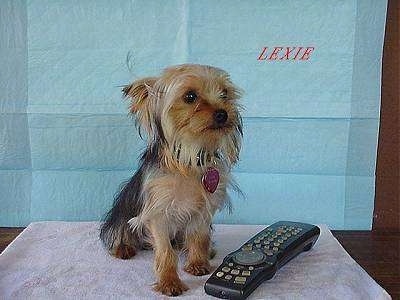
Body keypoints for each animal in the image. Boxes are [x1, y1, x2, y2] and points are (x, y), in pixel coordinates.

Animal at [101, 63, 242, 296]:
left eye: (225, 94)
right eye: (190, 96)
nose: (223, 113)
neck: (190, 159)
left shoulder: (202, 209)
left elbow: (198, 236)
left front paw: (197, 263)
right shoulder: (158, 212)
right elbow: (165, 251)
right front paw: (169, 282)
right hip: (122, 215)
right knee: (119, 233)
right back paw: (124, 248)